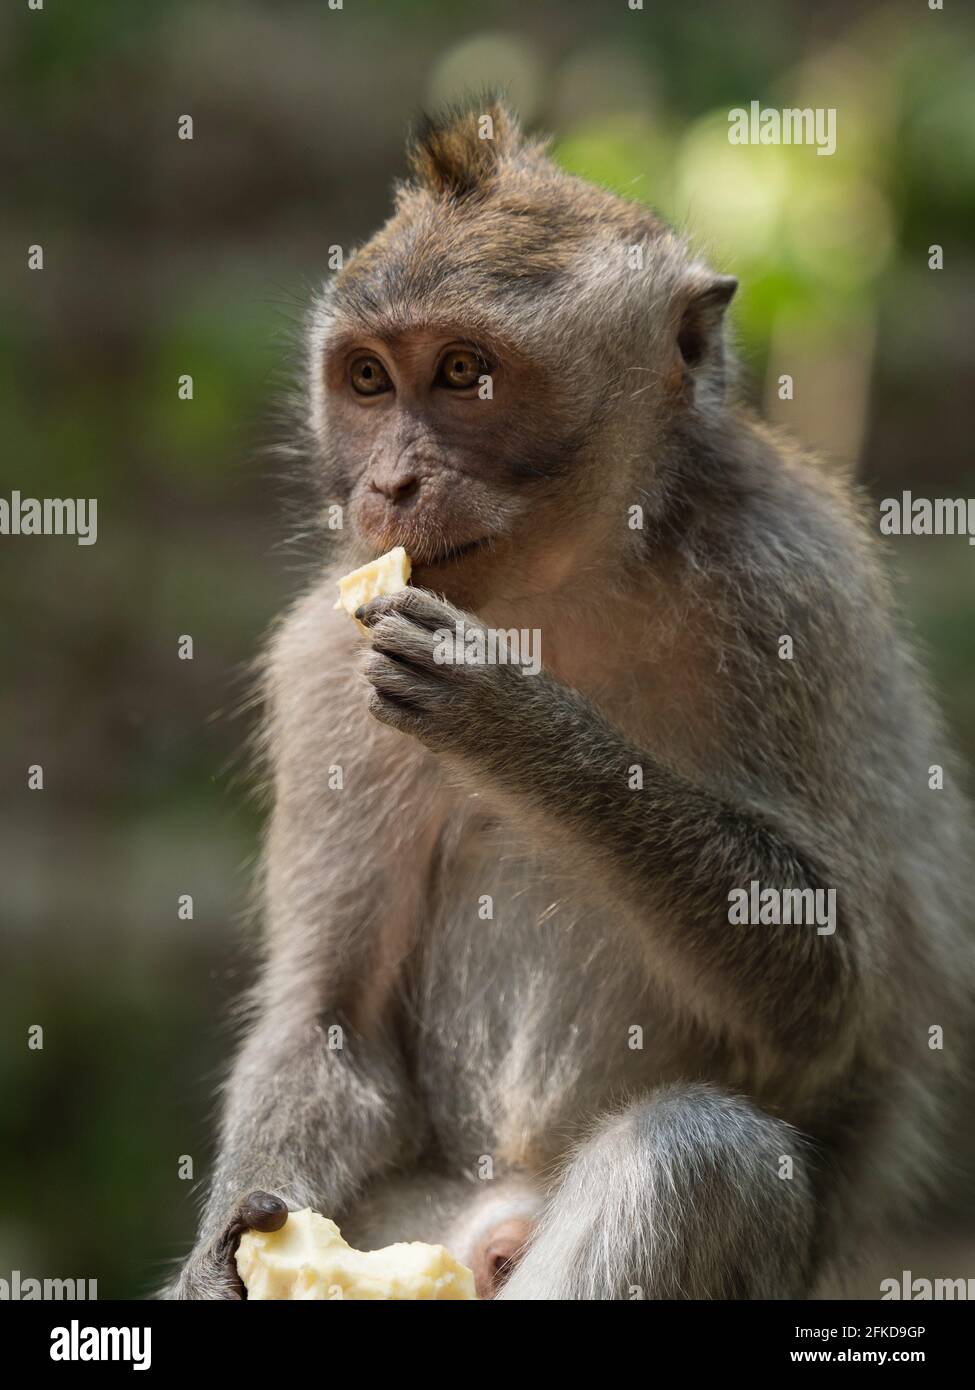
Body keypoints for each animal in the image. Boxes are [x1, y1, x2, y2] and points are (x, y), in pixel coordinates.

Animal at [161, 100, 973, 1301]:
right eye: (368, 382)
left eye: (463, 372)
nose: (388, 484)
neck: (569, 587)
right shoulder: (319, 671)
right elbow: (332, 1020)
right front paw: (221, 1264)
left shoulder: (794, 590)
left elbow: (826, 995)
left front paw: (514, 724)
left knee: (701, 1159)